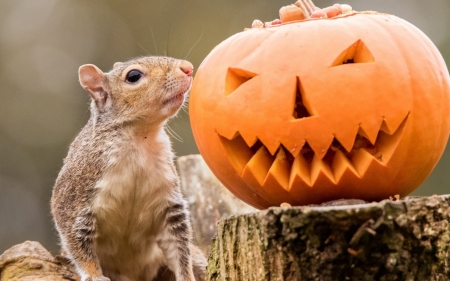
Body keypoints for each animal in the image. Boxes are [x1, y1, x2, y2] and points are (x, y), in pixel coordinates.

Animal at [50, 55, 207, 280]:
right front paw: (94, 275)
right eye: (133, 76)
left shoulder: (168, 200)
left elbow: (180, 248)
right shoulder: (75, 195)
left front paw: (187, 276)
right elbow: (76, 239)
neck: (140, 137)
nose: (187, 68)